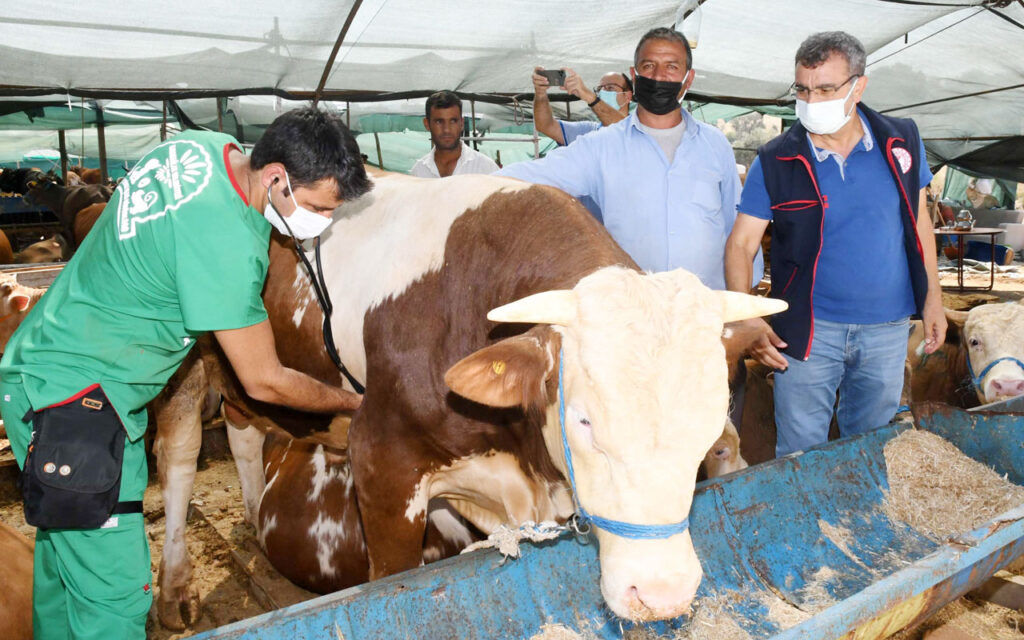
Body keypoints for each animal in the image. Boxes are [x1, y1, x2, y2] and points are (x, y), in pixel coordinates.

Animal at [151, 172, 778, 626]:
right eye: (584, 422)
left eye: (708, 436)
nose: (662, 592)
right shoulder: (381, 466)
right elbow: (392, 582)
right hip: (180, 358)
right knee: (179, 452)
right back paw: (175, 589)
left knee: (243, 426)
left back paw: (251, 512)